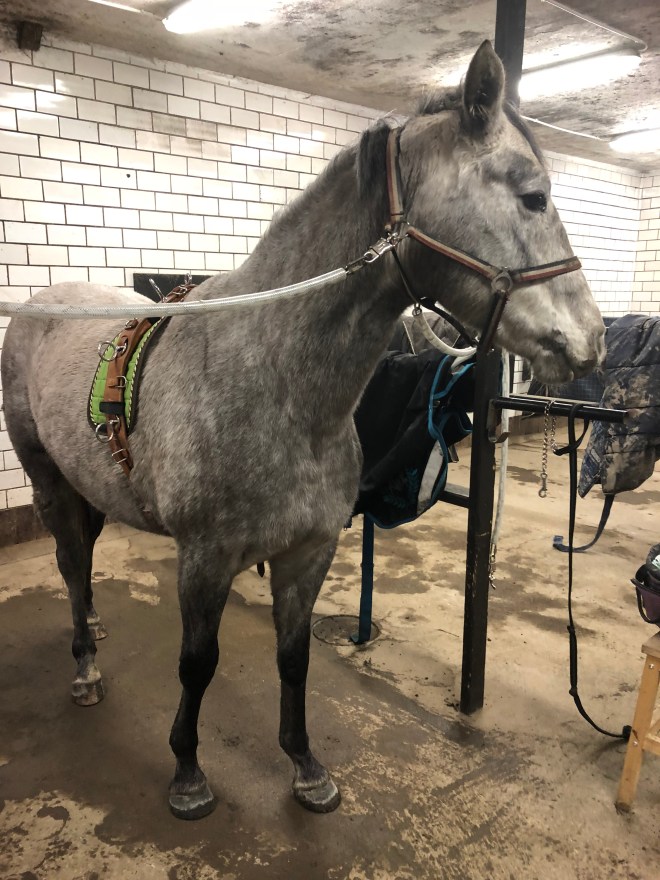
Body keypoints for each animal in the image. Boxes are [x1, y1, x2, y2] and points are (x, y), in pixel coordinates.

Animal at [1, 41, 605, 820]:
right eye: (533, 196)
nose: (593, 341)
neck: (274, 381)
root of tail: (40, 304)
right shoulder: (204, 560)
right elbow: (197, 663)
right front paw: (188, 774)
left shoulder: (310, 552)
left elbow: (295, 659)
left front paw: (306, 767)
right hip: (46, 478)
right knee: (73, 566)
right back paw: (86, 669)